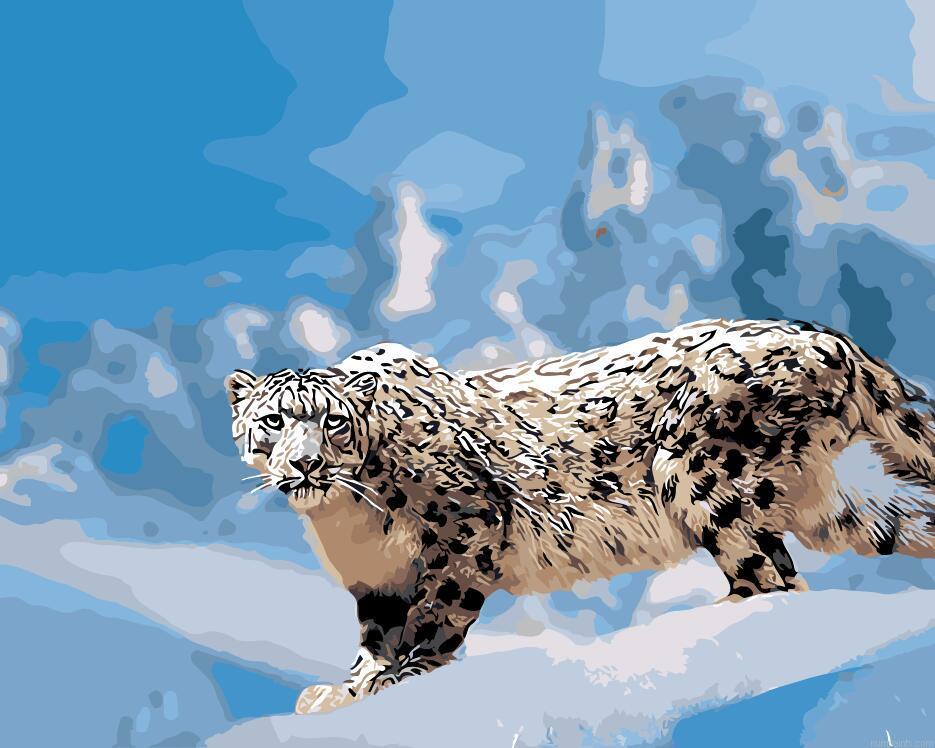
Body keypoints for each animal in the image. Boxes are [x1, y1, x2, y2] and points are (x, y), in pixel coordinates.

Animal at [224, 318, 935, 714]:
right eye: (273, 421)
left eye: (333, 423)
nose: (306, 465)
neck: (346, 524)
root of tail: (831, 338)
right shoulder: (377, 584)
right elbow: (373, 640)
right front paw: (344, 691)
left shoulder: (465, 529)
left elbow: (433, 618)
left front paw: (402, 679)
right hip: (832, 501)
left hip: (695, 470)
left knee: (768, 574)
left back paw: (696, 621)